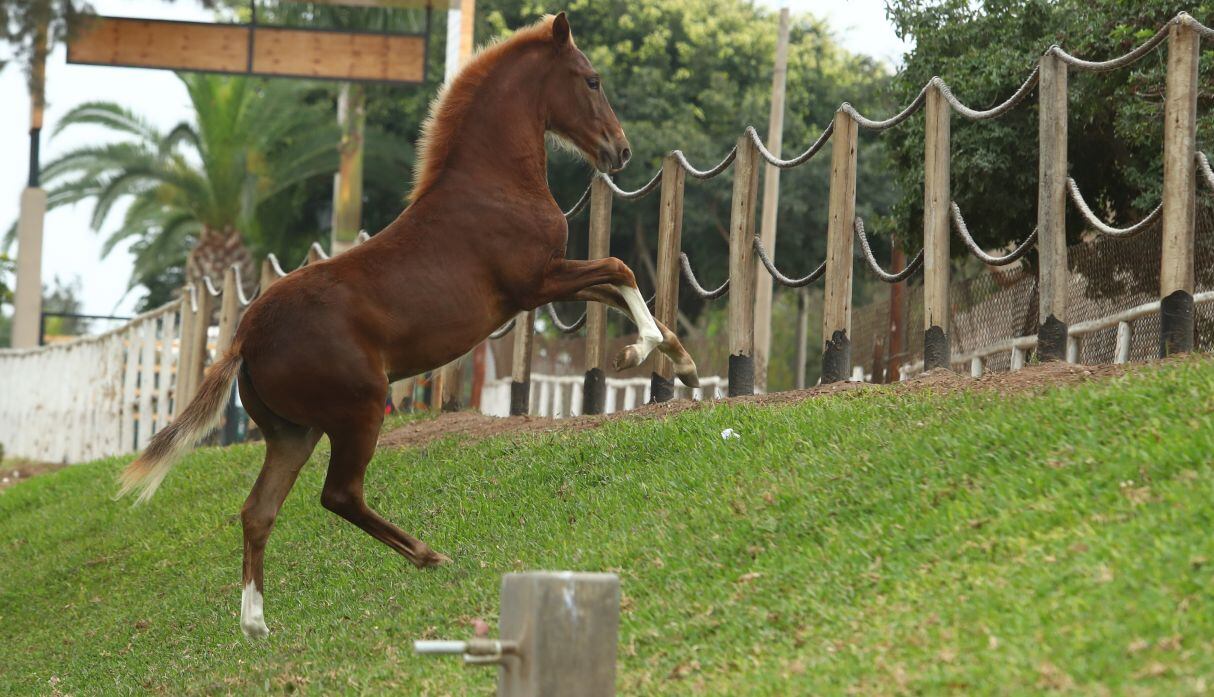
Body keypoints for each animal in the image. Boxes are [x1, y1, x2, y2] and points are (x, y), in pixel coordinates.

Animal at [117, 12, 700, 639]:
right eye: (591, 80)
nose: (621, 150)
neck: (493, 182)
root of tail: (245, 337)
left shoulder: (545, 283)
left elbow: (616, 289)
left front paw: (684, 365)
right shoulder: (534, 284)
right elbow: (620, 270)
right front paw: (636, 353)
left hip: (293, 433)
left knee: (258, 510)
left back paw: (255, 625)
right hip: (359, 410)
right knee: (339, 495)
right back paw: (430, 555)